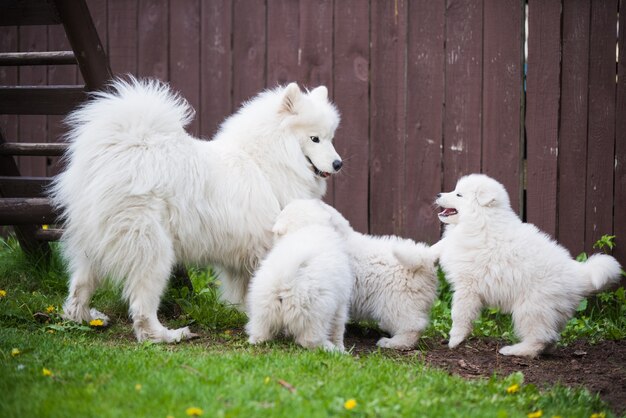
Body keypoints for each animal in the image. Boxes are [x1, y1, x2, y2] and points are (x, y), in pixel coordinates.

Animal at [48, 77, 342, 342]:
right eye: (314, 139)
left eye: (330, 138)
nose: (338, 163)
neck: (264, 159)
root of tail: (124, 147)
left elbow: (244, 288)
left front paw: (244, 312)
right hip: (153, 249)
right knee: (142, 309)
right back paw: (167, 335)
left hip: (93, 245)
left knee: (79, 288)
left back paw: (84, 317)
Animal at [243, 199, 352, 352]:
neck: (306, 229)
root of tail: (285, 279)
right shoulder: (341, 303)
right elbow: (338, 327)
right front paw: (341, 347)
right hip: (316, 313)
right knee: (309, 340)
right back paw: (330, 348)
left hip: (262, 310)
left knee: (259, 332)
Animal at [428, 173, 620, 356]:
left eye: (458, 194)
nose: (437, 194)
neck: (481, 220)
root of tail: (578, 276)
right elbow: (444, 244)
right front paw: (428, 252)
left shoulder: (467, 287)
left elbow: (459, 314)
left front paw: (455, 340)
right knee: (550, 338)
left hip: (531, 308)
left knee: (539, 338)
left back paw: (515, 350)